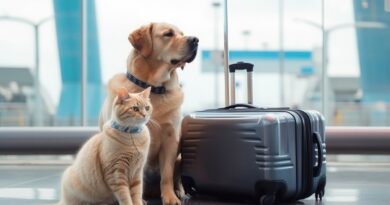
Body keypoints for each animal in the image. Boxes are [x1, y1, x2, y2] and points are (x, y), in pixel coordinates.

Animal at [99, 22, 198, 205]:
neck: (154, 88)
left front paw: (170, 197)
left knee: (176, 178)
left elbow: (167, 175)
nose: (195, 40)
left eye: (182, 33)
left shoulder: (171, 138)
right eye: (168, 34)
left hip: (180, 156)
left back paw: (179, 192)